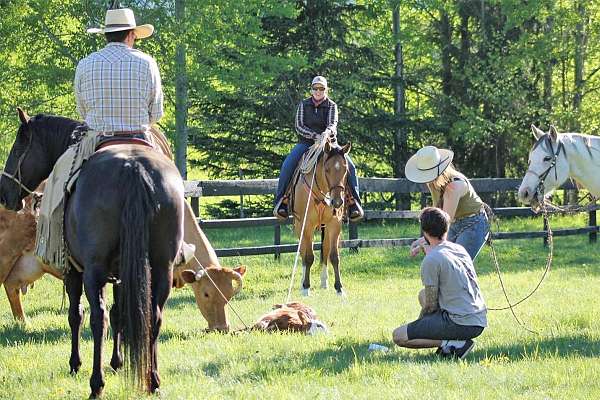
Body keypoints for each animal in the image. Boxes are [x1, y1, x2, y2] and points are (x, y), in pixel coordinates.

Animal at [0, 109, 183, 396]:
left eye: (19, 146)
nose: (4, 192)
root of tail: (134, 169)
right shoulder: (121, 274)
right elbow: (120, 313)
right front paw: (118, 362)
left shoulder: (75, 271)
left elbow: (77, 315)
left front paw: (76, 363)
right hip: (161, 267)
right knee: (153, 315)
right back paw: (152, 380)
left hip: (93, 272)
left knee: (98, 318)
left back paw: (96, 384)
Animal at [292, 139, 352, 296]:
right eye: (327, 169)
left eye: (345, 170)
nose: (337, 201)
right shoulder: (306, 225)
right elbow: (308, 256)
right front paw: (306, 287)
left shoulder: (334, 224)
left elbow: (334, 256)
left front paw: (339, 288)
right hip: (300, 226)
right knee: (303, 251)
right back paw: (302, 282)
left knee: (325, 250)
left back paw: (324, 282)